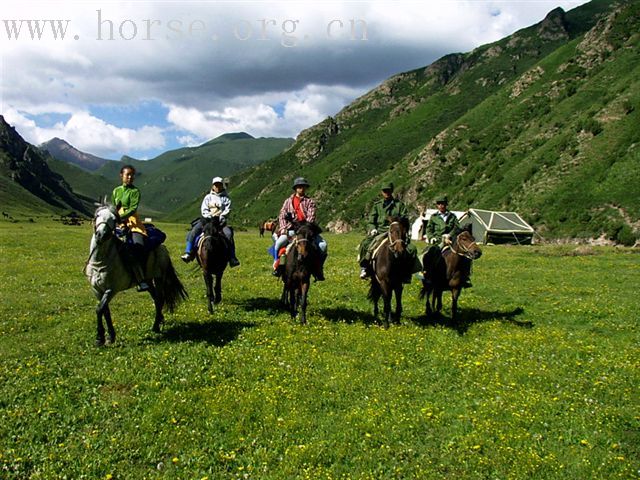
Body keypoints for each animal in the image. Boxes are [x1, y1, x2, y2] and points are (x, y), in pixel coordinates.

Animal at [85, 205, 186, 344]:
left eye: (114, 219)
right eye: (97, 216)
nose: (101, 235)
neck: (101, 261)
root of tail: (162, 247)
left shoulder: (111, 289)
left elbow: (99, 309)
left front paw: (100, 337)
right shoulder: (96, 290)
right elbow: (105, 311)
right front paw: (110, 336)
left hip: (159, 278)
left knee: (159, 299)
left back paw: (156, 326)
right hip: (148, 280)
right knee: (155, 298)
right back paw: (160, 320)